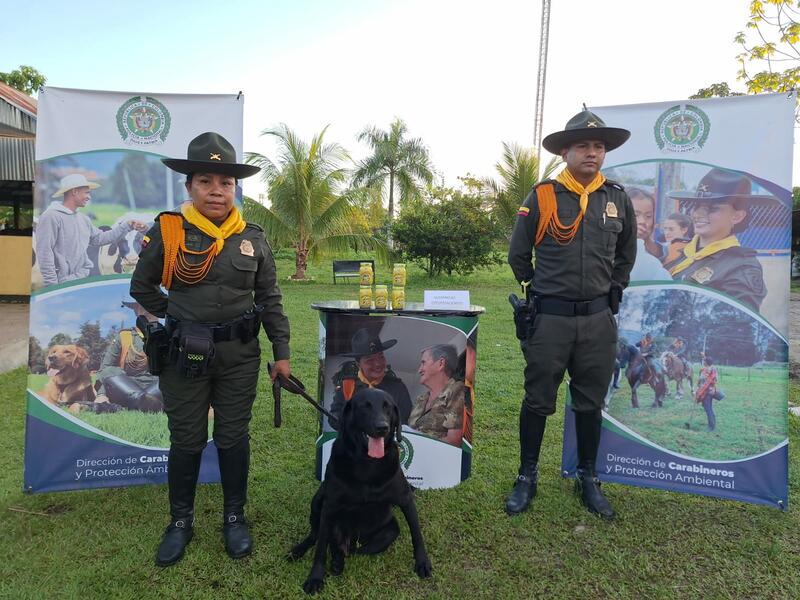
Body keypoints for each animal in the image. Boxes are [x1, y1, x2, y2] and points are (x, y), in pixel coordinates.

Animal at [290, 386, 434, 592]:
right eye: (365, 407)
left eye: (387, 407)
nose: (382, 428)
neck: (368, 463)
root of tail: (349, 540)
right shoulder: (329, 506)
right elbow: (320, 550)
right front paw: (315, 578)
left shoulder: (405, 499)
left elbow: (417, 534)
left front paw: (422, 563)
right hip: (318, 501)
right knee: (318, 536)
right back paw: (301, 551)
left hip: (389, 532)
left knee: (350, 549)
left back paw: (338, 561)